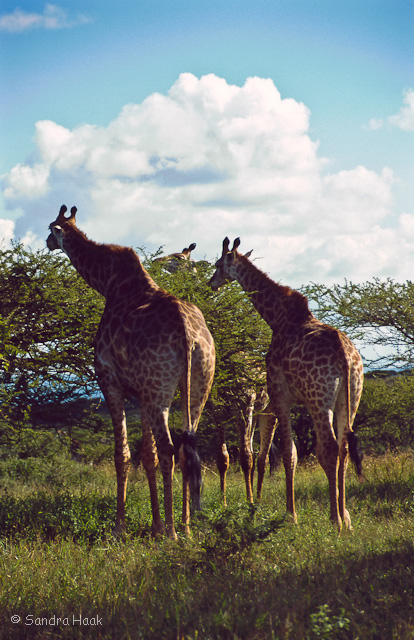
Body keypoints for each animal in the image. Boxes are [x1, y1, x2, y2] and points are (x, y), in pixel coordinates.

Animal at [47, 205, 215, 539]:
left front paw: (120, 527)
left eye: (51, 227)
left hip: (160, 389)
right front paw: (154, 524)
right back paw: (187, 526)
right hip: (196, 385)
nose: (47, 243)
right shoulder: (141, 391)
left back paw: (173, 532)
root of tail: (188, 334)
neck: (108, 282)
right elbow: (147, 455)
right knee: (187, 447)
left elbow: (122, 454)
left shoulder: (109, 379)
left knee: (169, 448)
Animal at [209, 238, 364, 531]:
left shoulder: (279, 394)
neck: (277, 317)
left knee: (327, 448)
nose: (211, 283)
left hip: (318, 399)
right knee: (344, 448)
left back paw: (335, 519)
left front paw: (290, 515)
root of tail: (345, 355)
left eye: (217, 264)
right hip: (350, 398)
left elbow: (288, 453)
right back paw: (346, 515)